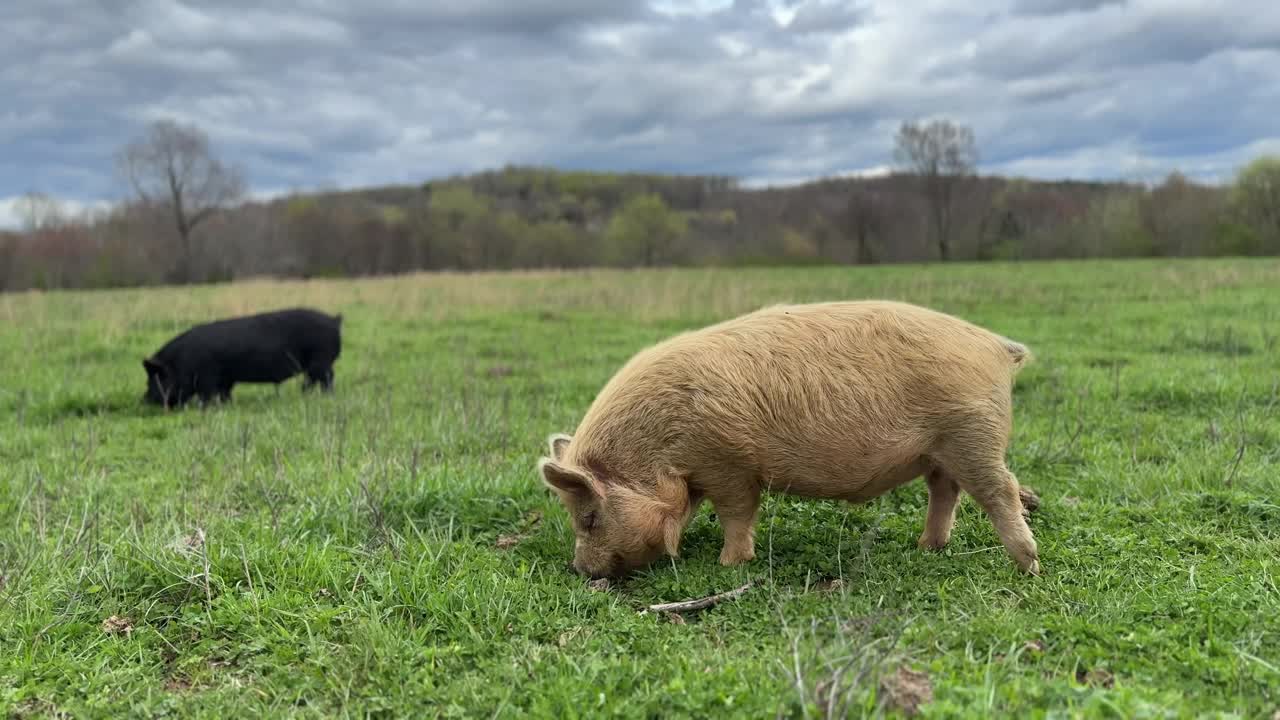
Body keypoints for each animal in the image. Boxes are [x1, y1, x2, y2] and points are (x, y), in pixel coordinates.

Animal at [143, 304, 345, 407]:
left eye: (156, 378)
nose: (144, 400)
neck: (181, 363)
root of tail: (334, 320)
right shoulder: (225, 378)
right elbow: (225, 392)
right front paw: (227, 405)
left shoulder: (208, 376)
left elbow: (207, 394)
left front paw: (207, 408)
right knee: (311, 380)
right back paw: (305, 395)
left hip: (321, 359)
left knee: (327, 378)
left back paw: (325, 397)